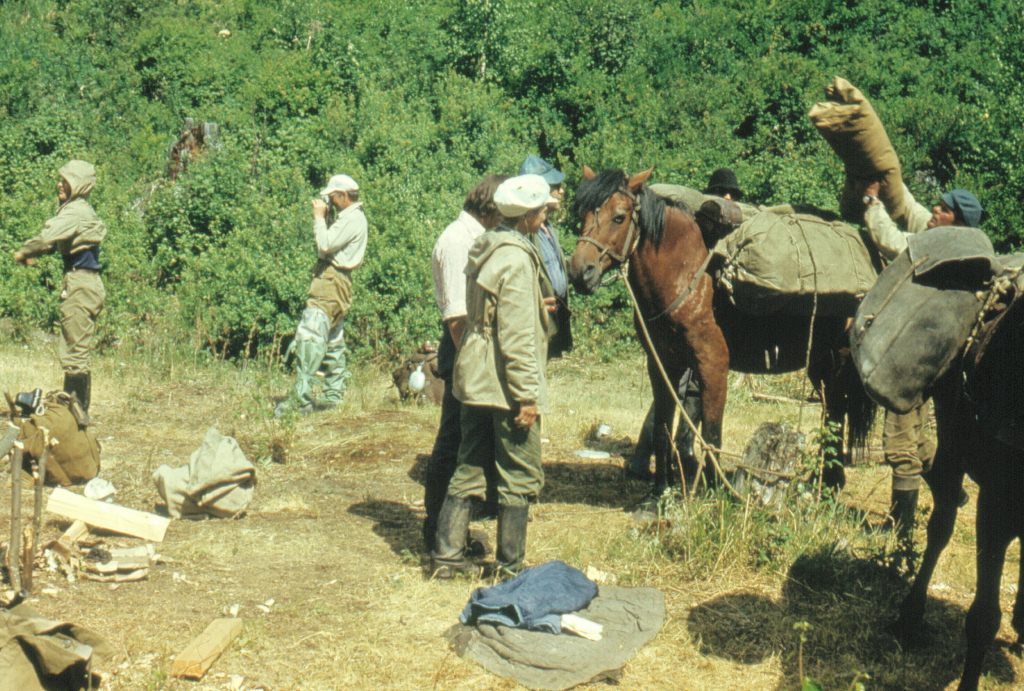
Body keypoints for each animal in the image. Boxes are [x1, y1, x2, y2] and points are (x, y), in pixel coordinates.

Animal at [569, 168, 872, 497]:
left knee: (837, 414)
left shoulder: (712, 363)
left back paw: (829, 483)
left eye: (619, 217)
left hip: (838, 362)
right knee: (832, 413)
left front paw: (714, 492)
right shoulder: (662, 364)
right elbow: (663, 428)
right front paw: (661, 489)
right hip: (819, 363)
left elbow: (712, 432)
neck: (688, 276)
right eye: (583, 214)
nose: (580, 272)